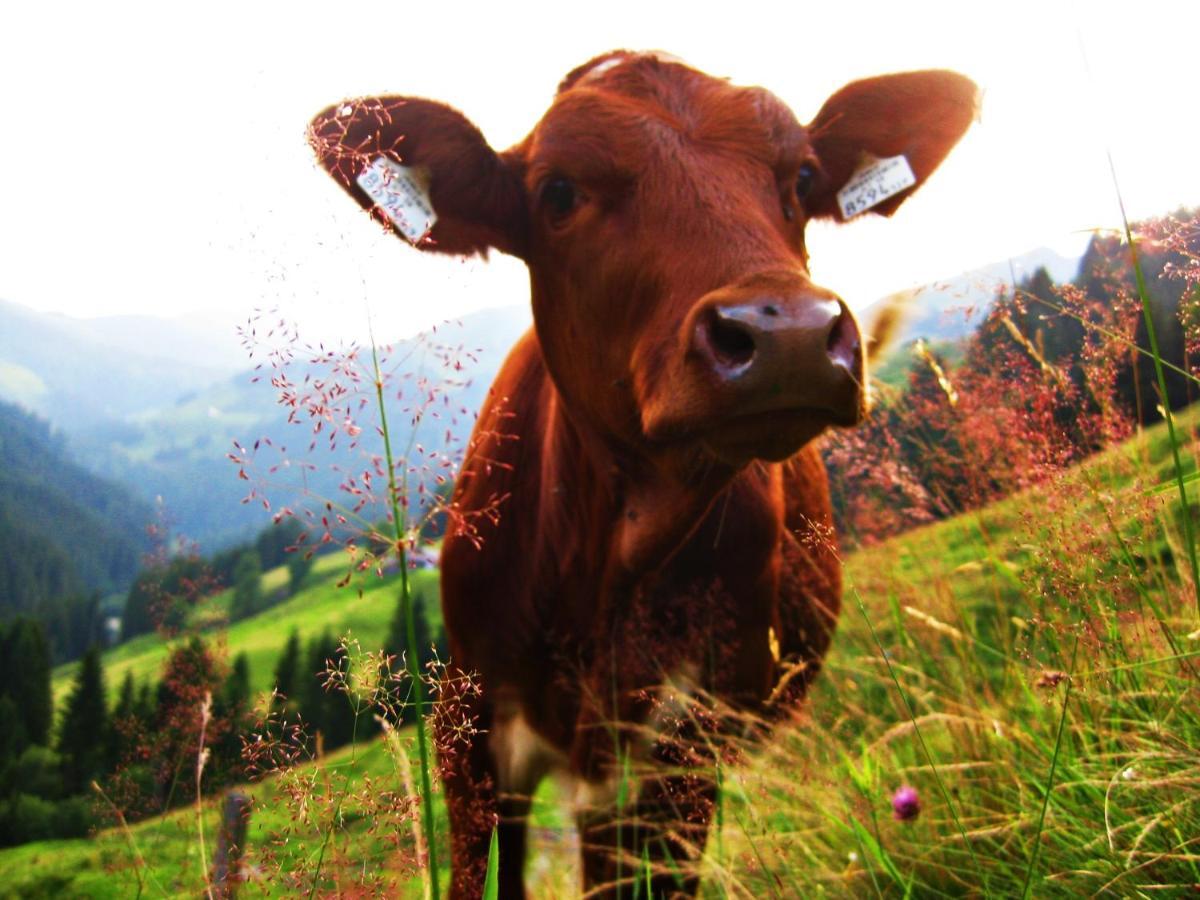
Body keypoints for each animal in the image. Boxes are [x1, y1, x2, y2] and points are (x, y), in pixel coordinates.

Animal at [309, 52, 974, 897]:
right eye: (559, 192)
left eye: (802, 177)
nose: (788, 333)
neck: (600, 564)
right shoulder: (469, 728)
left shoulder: (681, 748)